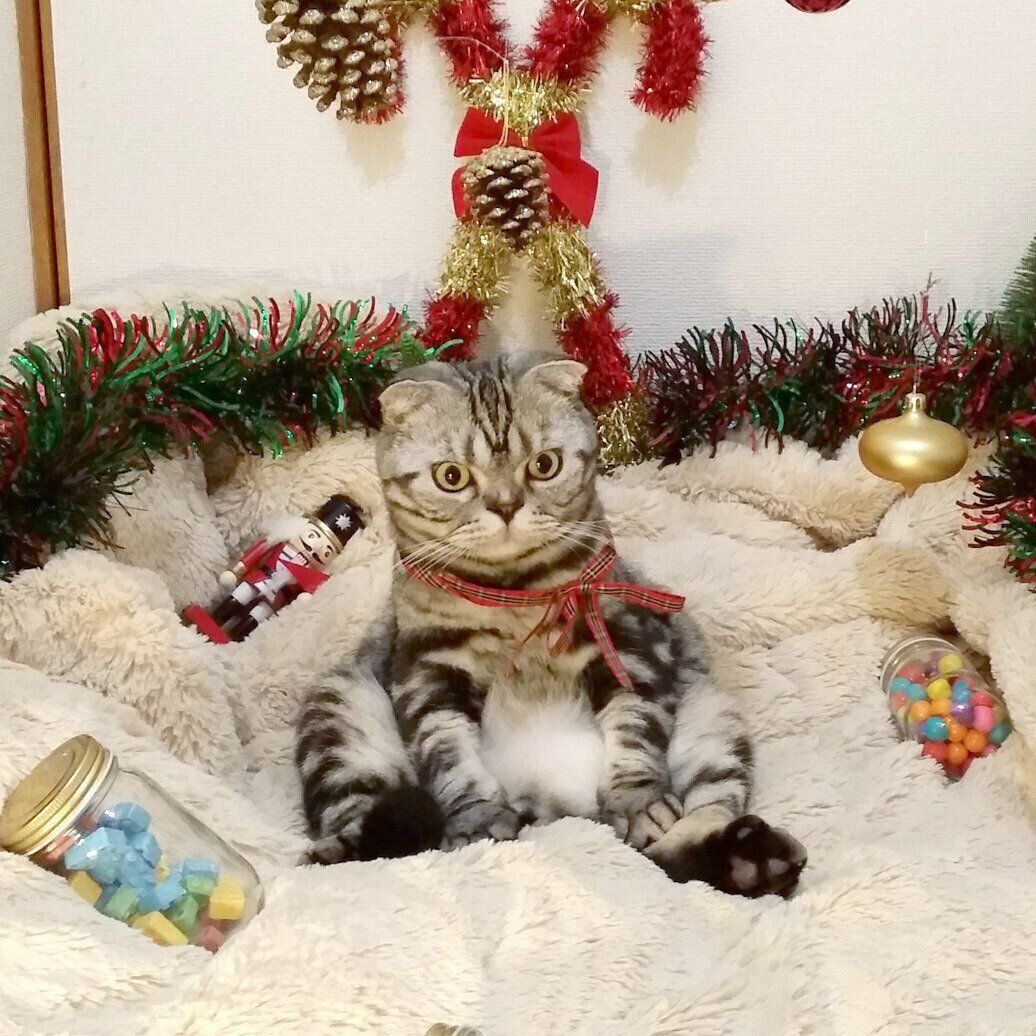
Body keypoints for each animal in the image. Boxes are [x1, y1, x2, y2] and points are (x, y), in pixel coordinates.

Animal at [296, 354, 806, 896]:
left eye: (544, 465)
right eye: (451, 476)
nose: (505, 506)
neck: (516, 597)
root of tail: (554, 808)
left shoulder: (631, 645)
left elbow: (635, 733)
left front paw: (636, 800)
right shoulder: (424, 670)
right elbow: (449, 752)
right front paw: (476, 817)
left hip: (710, 717)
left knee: (678, 848)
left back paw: (750, 859)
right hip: (341, 713)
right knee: (366, 834)